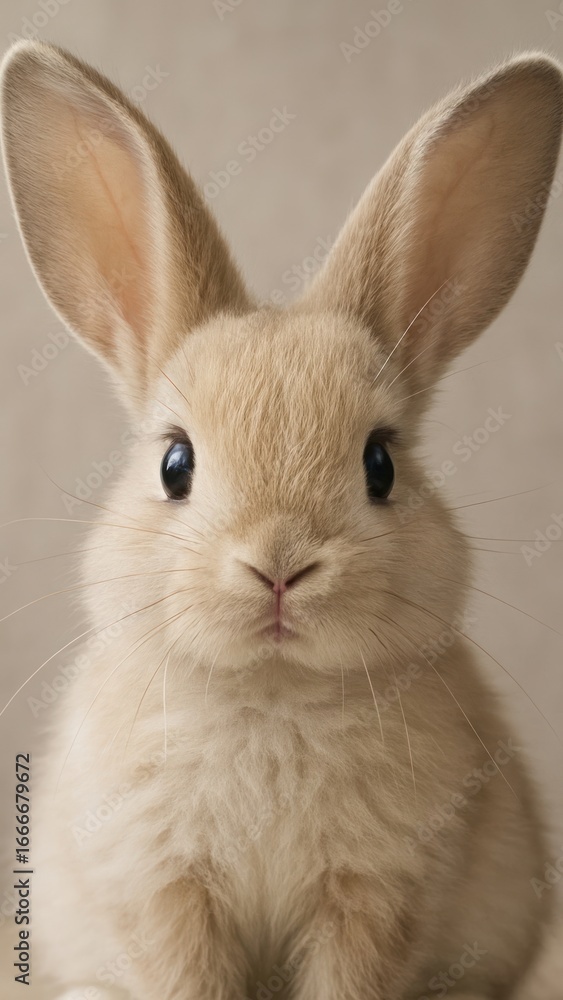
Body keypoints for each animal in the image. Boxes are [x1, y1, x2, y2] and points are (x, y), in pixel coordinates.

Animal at [1, 38, 562, 1000]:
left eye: (379, 464)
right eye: (175, 464)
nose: (278, 566)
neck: (272, 694)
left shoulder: (374, 897)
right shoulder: (166, 894)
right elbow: (186, 973)